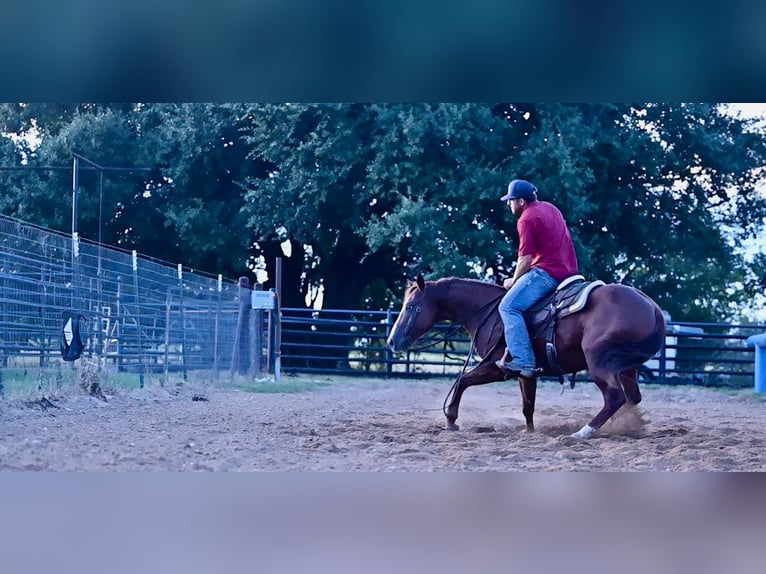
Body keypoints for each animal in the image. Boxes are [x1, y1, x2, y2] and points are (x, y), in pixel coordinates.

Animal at [390, 276, 664, 440]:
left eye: (411, 306)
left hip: (599, 361)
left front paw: (451, 420)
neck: (491, 314)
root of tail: (653, 308)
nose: (393, 341)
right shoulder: (526, 372)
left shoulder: (497, 367)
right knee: (631, 398)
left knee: (615, 397)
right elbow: (527, 405)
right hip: (627, 369)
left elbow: (462, 381)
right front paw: (529, 431)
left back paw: (582, 433)